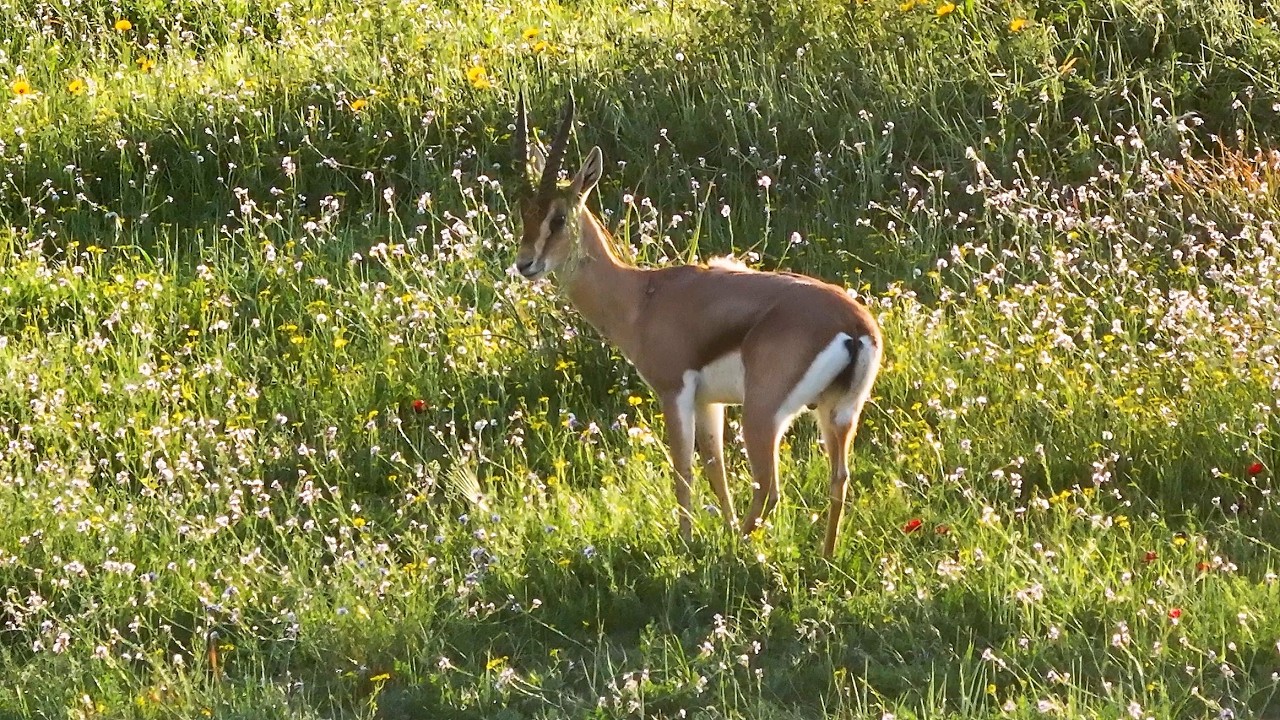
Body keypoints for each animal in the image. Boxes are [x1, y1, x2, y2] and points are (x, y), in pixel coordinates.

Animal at [510, 95, 882, 558]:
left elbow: (683, 469)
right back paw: (824, 558)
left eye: (558, 218)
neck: (642, 297)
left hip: (763, 415)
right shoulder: (710, 402)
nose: (525, 264)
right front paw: (719, 528)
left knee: (770, 488)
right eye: (522, 211)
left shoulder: (674, 391)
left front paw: (687, 543)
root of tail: (855, 325)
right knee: (838, 479)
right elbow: (714, 467)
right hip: (839, 412)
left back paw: (735, 552)